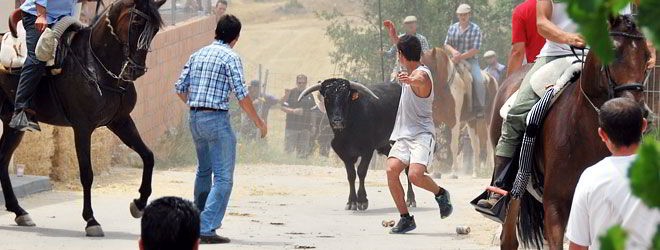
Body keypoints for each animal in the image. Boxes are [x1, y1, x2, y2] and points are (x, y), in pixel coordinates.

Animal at [0, 0, 168, 236]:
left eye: (155, 30)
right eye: (135, 22)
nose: (136, 71)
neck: (96, 64)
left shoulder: (120, 121)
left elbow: (148, 156)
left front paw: (139, 203)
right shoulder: (82, 127)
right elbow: (87, 173)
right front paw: (91, 220)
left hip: (12, 126)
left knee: (2, 160)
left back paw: (19, 212)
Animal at [298, 78, 416, 211]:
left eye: (346, 98)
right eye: (327, 98)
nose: (337, 121)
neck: (349, 131)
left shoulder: (367, 150)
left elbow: (361, 171)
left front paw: (362, 200)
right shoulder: (344, 153)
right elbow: (351, 175)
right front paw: (351, 201)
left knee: (407, 167)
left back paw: (410, 199)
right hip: (384, 145)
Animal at [426, 47, 498, 177]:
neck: (444, 88)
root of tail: (492, 79)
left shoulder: (454, 121)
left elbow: (453, 146)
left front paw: (454, 171)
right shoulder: (435, 121)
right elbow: (435, 145)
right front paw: (434, 171)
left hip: (488, 119)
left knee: (488, 144)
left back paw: (490, 169)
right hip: (471, 122)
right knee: (476, 145)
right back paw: (475, 171)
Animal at [492, 15, 652, 248]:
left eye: (647, 56)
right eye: (612, 51)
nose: (638, 111)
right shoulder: (555, 204)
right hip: (514, 193)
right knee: (509, 238)